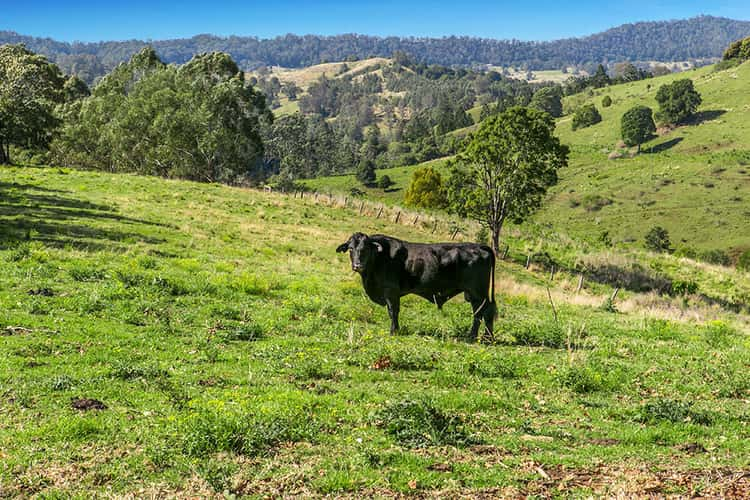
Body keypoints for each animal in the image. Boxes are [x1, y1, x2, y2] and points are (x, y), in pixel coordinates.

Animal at [338, 233, 496, 340]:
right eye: (351, 249)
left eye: (366, 249)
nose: (357, 265)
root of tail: (479, 246)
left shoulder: (391, 292)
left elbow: (393, 311)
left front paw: (393, 331)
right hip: (474, 294)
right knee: (481, 313)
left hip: (478, 293)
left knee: (483, 312)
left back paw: (480, 337)